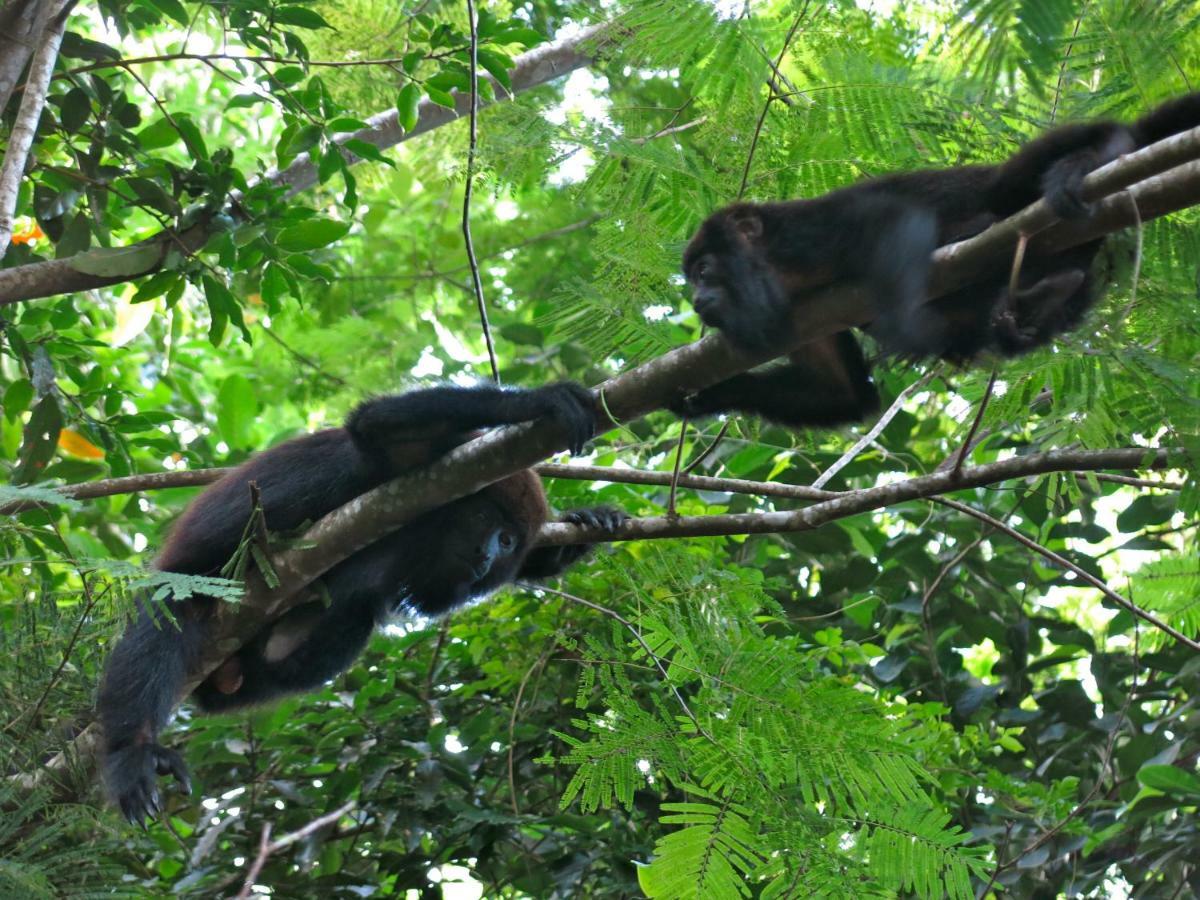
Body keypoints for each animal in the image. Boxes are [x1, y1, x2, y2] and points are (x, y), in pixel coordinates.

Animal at [99, 381, 628, 825]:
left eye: (508, 541)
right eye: (486, 522)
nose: (485, 557)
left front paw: (585, 525)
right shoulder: (436, 465)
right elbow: (377, 425)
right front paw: (542, 401)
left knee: (353, 617)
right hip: (187, 588)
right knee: (161, 627)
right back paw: (133, 752)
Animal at [676, 92, 1200, 429]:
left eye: (704, 271)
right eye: (691, 281)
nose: (698, 299)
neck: (779, 270)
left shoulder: (810, 232)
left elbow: (894, 220)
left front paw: (904, 328)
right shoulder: (805, 317)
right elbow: (841, 393)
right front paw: (707, 397)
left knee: (1039, 166)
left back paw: (1089, 160)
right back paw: (1042, 300)